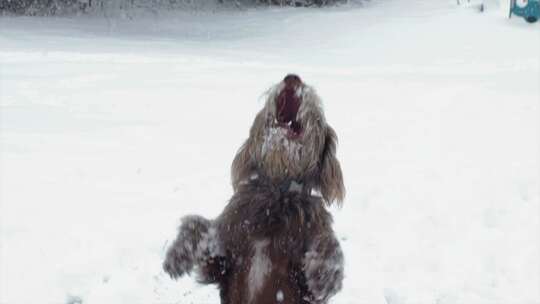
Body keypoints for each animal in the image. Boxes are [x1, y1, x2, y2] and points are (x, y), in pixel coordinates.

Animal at [162, 74, 346, 304]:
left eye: (316, 106)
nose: (292, 78)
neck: (277, 196)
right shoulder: (221, 265)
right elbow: (199, 228)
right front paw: (177, 255)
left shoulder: (306, 289)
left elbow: (327, 249)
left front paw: (325, 273)